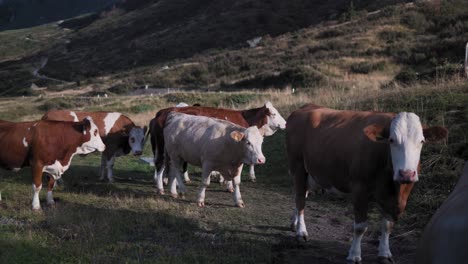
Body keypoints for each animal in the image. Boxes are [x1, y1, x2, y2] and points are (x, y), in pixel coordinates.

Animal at [150, 102, 286, 195]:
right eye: (274, 114)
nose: (285, 123)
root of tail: (162, 112)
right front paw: (229, 185)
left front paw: (223, 180)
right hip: (162, 147)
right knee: (160, 163)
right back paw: (161, 188)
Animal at [288, 104, 448, 262]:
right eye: (391, 140)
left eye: (421, 141)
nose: (406, 174)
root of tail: (306, 107)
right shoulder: (360, 189)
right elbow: (360, 227)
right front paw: (354, 254)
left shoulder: (403, 192)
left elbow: (387, 225)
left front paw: (385, 253)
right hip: (298, 167)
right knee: (300, 199)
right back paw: (301, 231)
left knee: (302, 194)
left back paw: (294, 223)